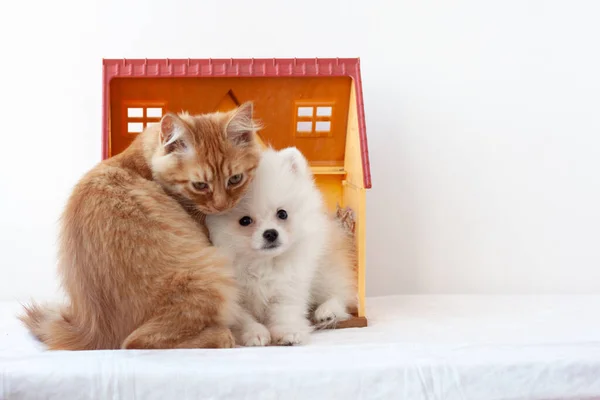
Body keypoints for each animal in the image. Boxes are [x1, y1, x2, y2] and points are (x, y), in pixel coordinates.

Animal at [20, 103, 260, 350]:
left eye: (235, 179)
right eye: (200, 185)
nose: (222, 206)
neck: (142, 162)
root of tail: (95, 334)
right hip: (213, 277)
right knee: (136, 341)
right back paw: (223, 335)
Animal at [206, 147, 356, 346]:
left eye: (282, 213)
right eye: (245, 221)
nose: (270, 233)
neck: (263, 264)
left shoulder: (289, 285)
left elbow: (285, 311)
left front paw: (289, 332)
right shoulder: (235, 298)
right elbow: (243, 318)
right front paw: (255, 334)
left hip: (324, 270)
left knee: (339, 291)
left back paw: (327, 311)